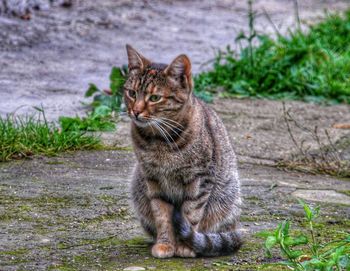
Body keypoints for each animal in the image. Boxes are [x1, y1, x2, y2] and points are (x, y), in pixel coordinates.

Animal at [124, 44, 242, 260]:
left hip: (226, 198)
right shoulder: (153, 180)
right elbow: (162, 216)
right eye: (132, 93)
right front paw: (165, 244)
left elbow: (191, 214)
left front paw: (185, 247)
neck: (159, 140)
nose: (135, 111)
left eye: (155, 98)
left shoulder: (200, 180)